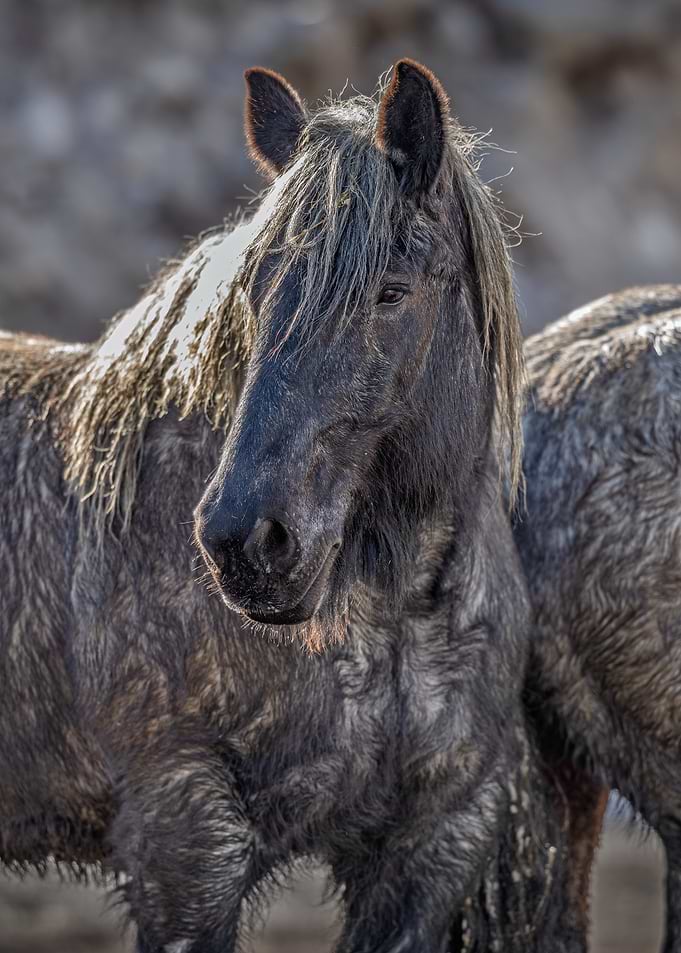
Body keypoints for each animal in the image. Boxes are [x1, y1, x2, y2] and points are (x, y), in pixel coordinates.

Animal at [0, 58, 561, 952]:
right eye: (253, 292)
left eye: (390, 291)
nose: (244, 540)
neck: (391, 612)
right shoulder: (187, 842)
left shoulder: (433, 847)